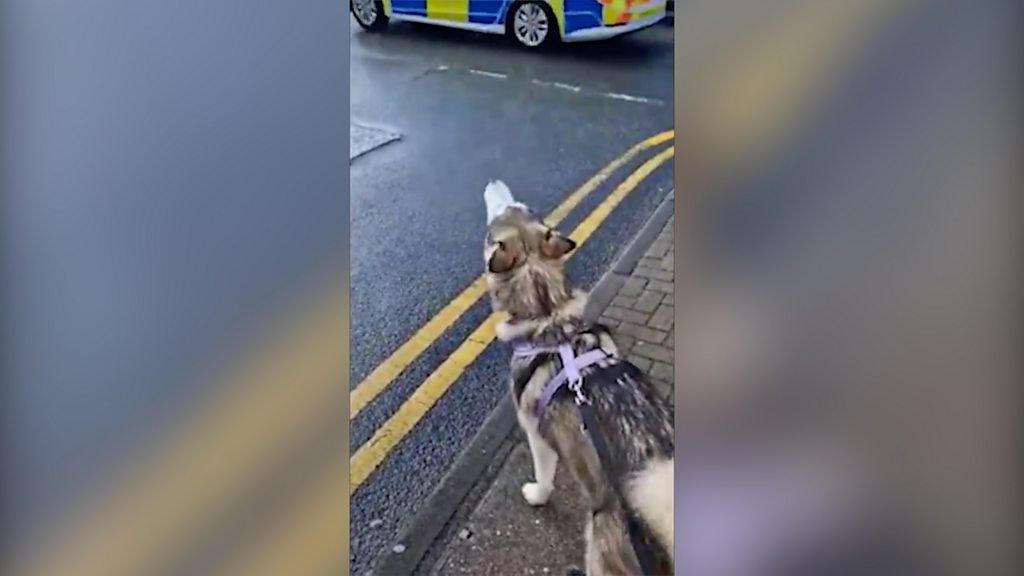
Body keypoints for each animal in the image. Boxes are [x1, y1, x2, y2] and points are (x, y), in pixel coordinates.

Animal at [483, 180, 675, 573]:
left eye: (507, 210)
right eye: (522, 208)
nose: (493, 182)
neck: (549, 319)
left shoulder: (536, 434)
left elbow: (544, 475)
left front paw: (537, 495)